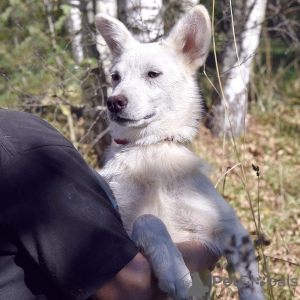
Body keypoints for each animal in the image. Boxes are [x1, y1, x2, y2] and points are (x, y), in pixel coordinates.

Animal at [95, 5, 264, 300]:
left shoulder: (232, 229)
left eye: (152, 74)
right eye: (115, 77)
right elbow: (148, 219)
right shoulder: (127, 228)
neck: (151, 150)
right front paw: (173, 267)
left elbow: (250, 282)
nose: (113, 102)